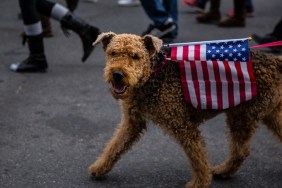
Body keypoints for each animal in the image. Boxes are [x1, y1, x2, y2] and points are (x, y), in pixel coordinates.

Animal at [88, 31, 282, 187]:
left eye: (135, 56)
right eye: (113, 53)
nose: (117, 74)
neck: (153, 73)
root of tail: (274, 61)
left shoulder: (182, 125)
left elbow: (197, 156)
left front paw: (200, 183)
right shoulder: (132, 122)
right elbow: (115, 145)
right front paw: (99, 167)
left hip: (243, 115)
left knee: (240, 151)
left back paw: (222, 170)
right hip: (267, 112)